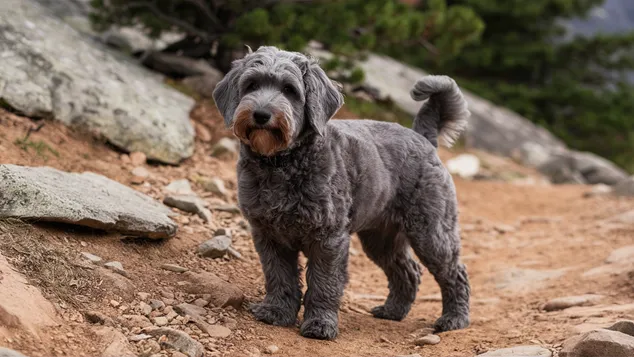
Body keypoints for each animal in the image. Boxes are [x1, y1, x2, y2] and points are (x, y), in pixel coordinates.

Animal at [212, 46, 470, 338]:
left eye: (289, 89)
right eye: (251, 85)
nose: (261, 114)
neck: (282, 164)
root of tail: (423, 138)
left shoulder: (328, 239)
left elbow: (324, 283)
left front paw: (320, 324)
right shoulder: (269, 236)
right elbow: (279, 277)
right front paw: (276, 311)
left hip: (431, 232)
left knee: (455, 273)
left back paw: (454, 319)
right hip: (381, 239)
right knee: (408, 271)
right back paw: (393, 311)